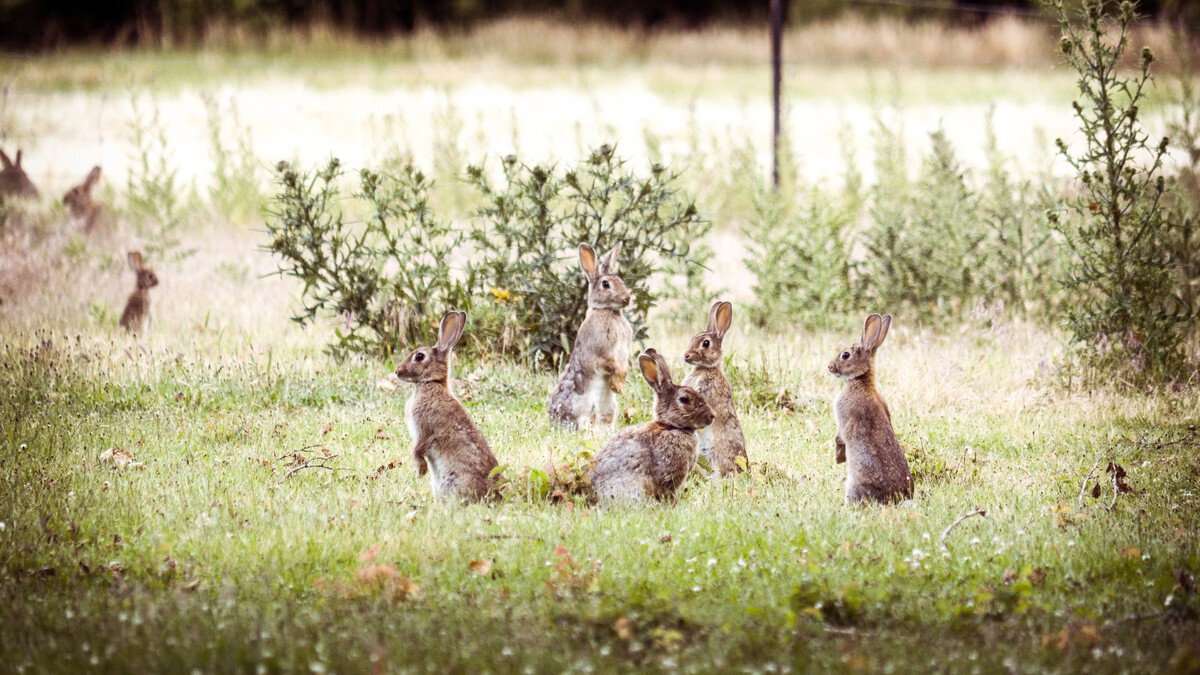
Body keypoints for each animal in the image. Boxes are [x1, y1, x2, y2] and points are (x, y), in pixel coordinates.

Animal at [394, 311, 500, 503]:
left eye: (419, 356)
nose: (397, 371)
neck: (432, 383)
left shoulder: (425, 429)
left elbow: (417, 449)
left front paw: (420, 471)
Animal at [548, 242, 633, 429]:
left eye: (620, 280)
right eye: (605, 284)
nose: (627, 298)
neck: (608, 311)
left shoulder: (623, 352)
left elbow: (623, 366)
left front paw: (619, 387)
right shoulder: (601, 352)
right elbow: (611, 365)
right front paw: (618, 385)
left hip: (609, 406)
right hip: (582, 406)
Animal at [827, 313, 914, 505]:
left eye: (845, 355)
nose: (829, 367)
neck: (861, 380)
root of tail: (897, 499)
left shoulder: (845, 420)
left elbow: (840, 436)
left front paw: (838, 457)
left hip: (855, 485)